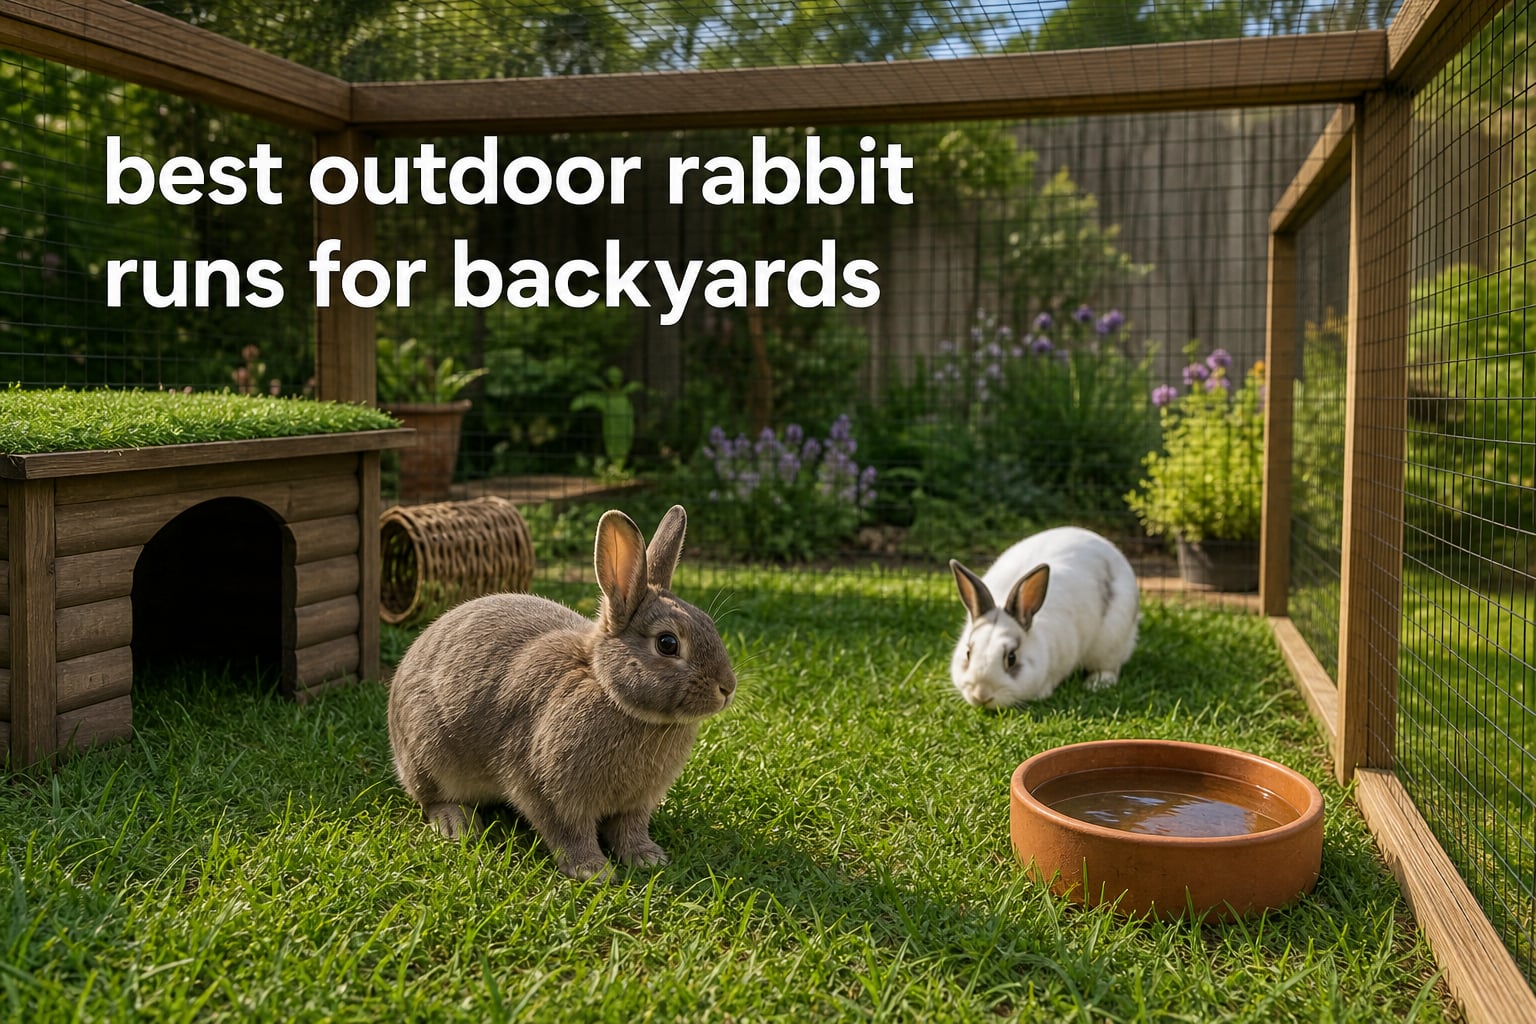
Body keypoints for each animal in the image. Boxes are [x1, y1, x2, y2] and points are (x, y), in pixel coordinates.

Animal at [387, 504, 737, 881]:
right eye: (668, 644)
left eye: (710, 625)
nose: (727, 688)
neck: (609, 691)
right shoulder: (548, 791)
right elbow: (569, 832)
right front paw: (593, 871)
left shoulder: (636, 804)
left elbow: (630, 829)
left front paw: (647, 858)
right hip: (427, 756)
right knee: (431, 799)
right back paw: (457, 825)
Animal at [948, 526, 1139, 707]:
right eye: (968, 653)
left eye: (1011, 658)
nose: (981, 695)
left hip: (1112, 642)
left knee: (1109, 666)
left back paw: (1096, 684)